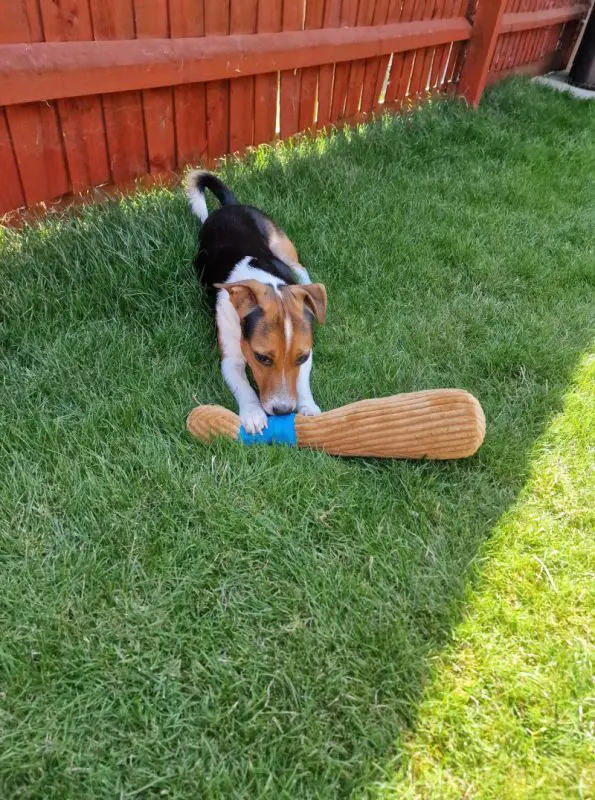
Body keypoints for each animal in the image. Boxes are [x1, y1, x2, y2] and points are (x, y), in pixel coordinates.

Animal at [187, 172, 328, 438]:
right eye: (261, 358)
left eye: (301, 357)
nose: (283, 411)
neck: (264, 280)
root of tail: (230, 205)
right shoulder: (230, 359)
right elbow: (244, 388)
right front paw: (253, 414)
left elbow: (303, 381)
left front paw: (308, 407)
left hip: (281, 244)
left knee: (299, 267)